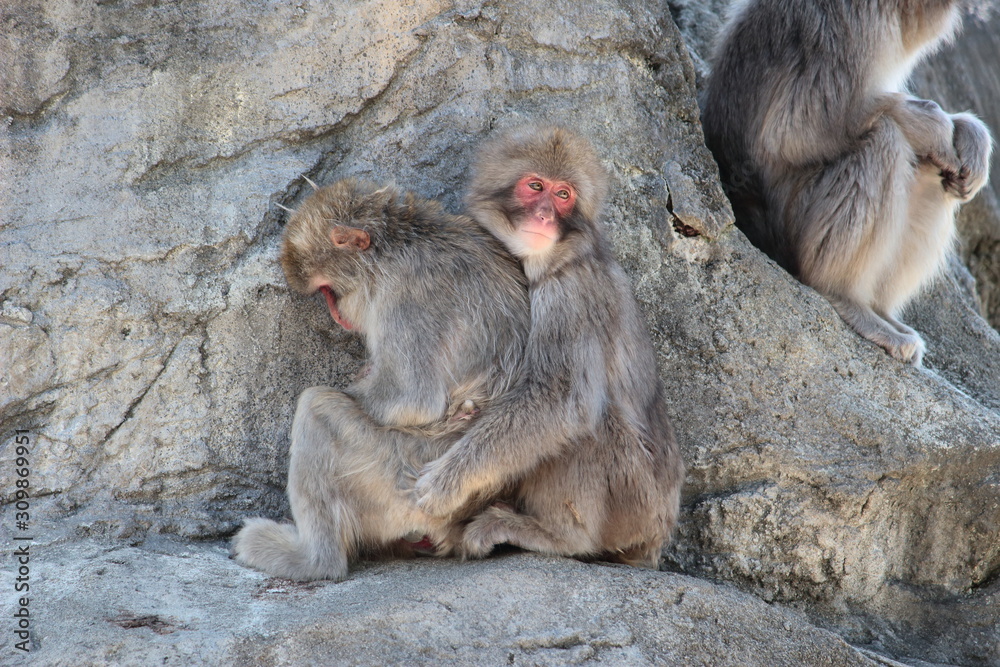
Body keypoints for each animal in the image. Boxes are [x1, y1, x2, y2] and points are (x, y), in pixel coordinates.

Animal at [232, 178, 530, 581]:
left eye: (328, 291)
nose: (338, 316)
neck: (399, 244)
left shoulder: (405, 296)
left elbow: (412, 400)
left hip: (400, 482)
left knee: (316, 408)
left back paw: (313, 560)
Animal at [413, 126, 686, 569]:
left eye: (563, 195)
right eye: (535, 186)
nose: (543, 215)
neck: (558, 257)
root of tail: (659, 536)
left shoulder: (571, 292)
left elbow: (559, 398)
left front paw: (446, 484)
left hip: (634, 504)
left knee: (591, 419)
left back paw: (560, 536)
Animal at [700, 0, 994, 365]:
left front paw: (970, 136)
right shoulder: (847, 25)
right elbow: (795, 130)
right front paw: (934, 125)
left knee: (930, 171)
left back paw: (881, 310)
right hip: (792, 221)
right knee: (883, 138)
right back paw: (846, 297)